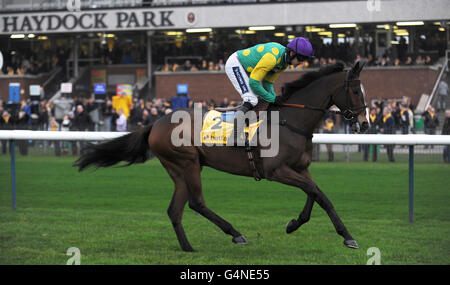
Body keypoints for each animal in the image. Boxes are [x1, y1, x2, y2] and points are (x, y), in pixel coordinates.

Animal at [74, 60, 370, 251]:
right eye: (356, 91)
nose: (365, 124)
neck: (290, 121)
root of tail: (155, 123)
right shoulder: (276, 171)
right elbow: (318, 193)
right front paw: (346, 237)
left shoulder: (301, 168)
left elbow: (316, 194)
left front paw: (295, 224)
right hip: (188, 163)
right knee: (196, 203)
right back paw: (235, 234)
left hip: (178, 169)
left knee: (175, 209)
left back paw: (188, 248)